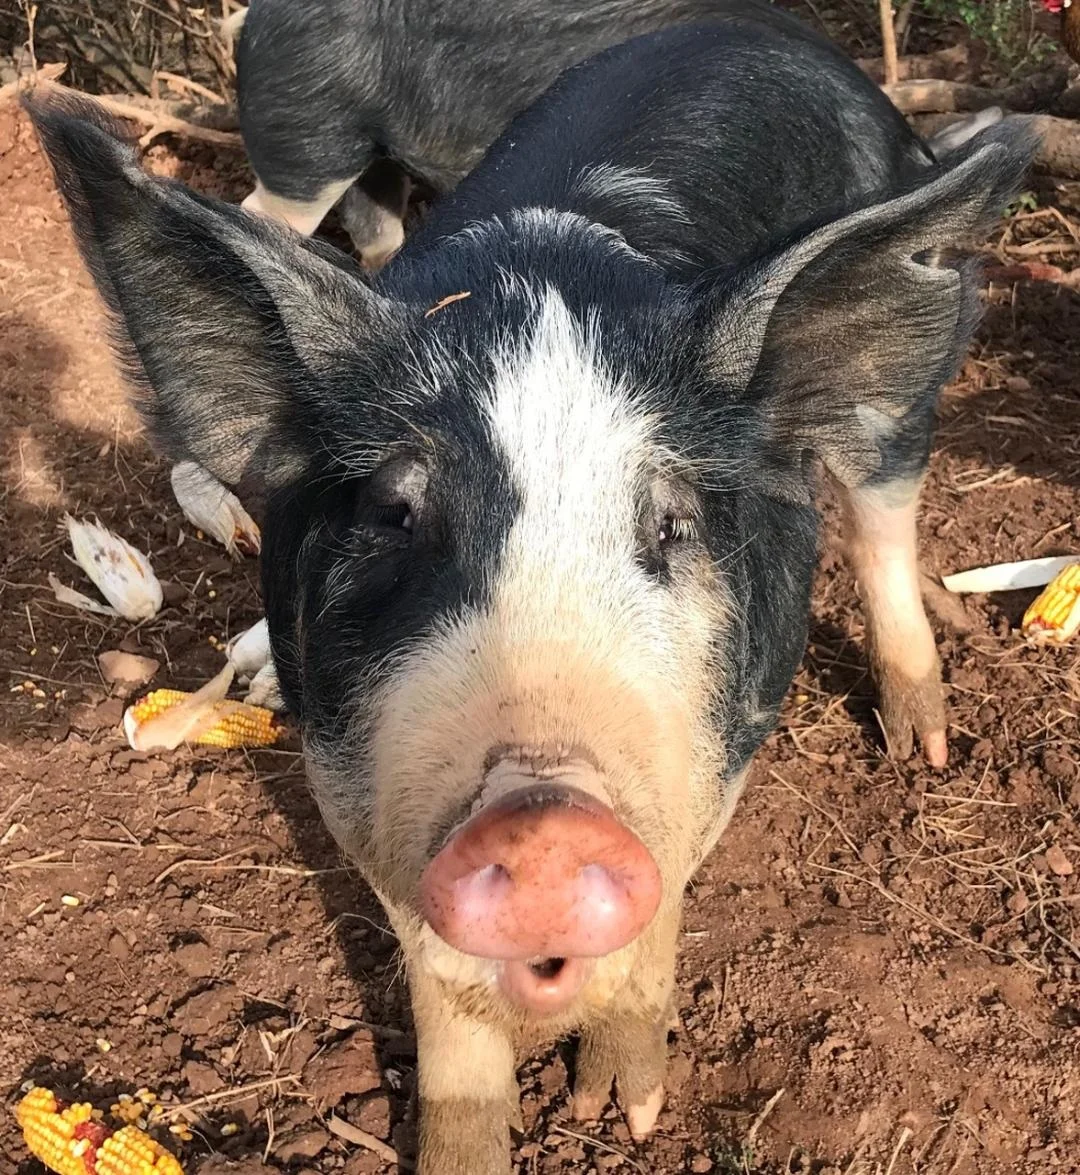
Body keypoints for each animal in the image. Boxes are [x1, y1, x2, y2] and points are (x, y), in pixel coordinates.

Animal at [28, 14, 1035, 1172]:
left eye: (673, 521)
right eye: (396, 511)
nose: (543, 816)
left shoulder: (733, 728)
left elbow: (667, 899)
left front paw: (622, 1111)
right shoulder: (344, 776)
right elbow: (447, 1002)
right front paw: (466, 1147)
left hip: (897, 398)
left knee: (883, 515)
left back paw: (925, 744)